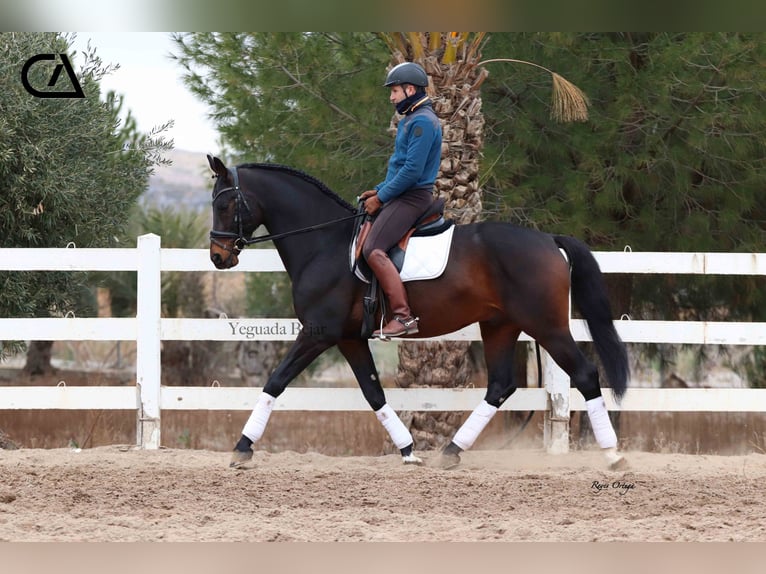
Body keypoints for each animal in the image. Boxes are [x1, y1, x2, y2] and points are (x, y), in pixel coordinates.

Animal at [207, 154, 632, 472]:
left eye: (224, 204)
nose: (218, 257)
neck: (325, 243)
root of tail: (548, 239)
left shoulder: (318, 332)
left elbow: (275, 381)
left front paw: (242, 447)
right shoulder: (349, 338)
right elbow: (373, 392)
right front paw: (409, 450)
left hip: (547, 326)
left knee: (584, 374)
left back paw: (614, 456)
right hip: (500, 325)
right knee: (500, 386)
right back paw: (451, 452)